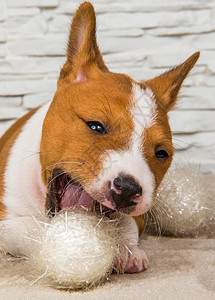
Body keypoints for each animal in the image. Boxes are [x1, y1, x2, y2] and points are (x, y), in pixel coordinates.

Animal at [0, 1, 199, 274]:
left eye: (161, 153)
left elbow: (127, 223)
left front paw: (125, 250)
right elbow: (34, 230)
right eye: (95, 126)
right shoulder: (7, 224)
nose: (127, 189)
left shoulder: (138, 216)